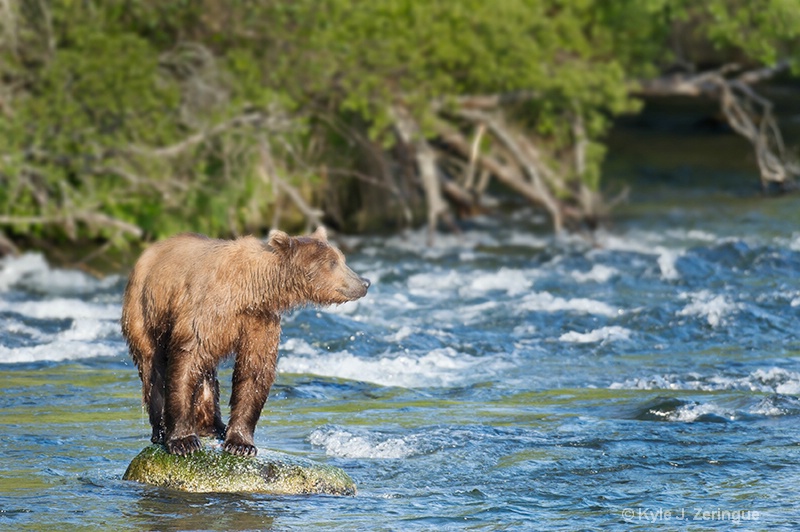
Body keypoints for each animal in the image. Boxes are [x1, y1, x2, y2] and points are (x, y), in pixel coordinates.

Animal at [120, 227, 370, 456]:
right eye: (332, 262)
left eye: (341, 258)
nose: (364, 282)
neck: (250, 291)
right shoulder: (204, 313)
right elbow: (186, 362)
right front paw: (183, 441)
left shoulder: (260, 320)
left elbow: (254, 370)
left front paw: (241, 443)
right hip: (144, 310)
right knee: (153, 367)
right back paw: (160, 430)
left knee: (207, 374)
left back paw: (213, 426)